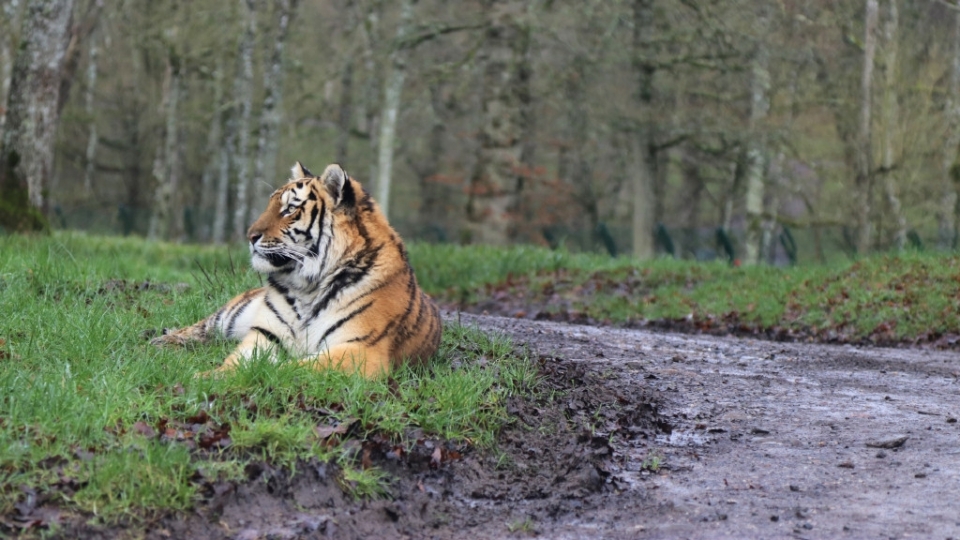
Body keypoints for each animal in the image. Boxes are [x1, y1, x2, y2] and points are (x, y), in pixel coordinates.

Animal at [152, 162, 444, 378]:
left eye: (289, 210)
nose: (250, 235)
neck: (309, 286)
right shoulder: (266, 334)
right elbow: (238, 361)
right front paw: (212, 376)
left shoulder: (361, 349)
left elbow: (296, 368)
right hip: (230, 315)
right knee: (201, 327)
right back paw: (160, 342)